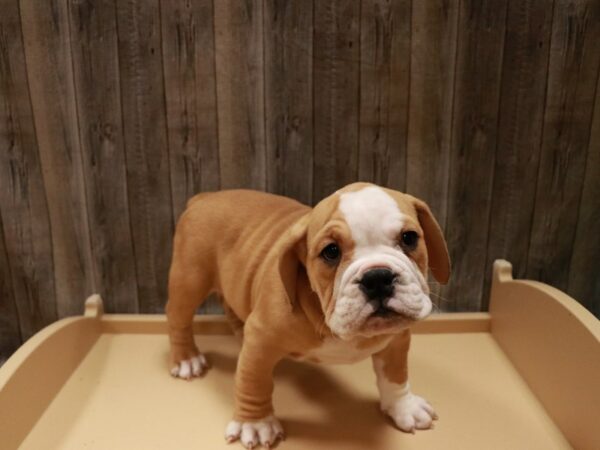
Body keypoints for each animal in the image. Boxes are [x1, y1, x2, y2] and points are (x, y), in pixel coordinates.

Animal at [166, 181, 448, 448]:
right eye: (331, 252)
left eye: (409, 238)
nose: (377, 277)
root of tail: (205, 197)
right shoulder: (261, 339)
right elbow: (254, 382)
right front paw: (255, 424)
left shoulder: (396, 340)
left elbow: (396, 375)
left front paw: (404, 407)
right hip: (190, 279)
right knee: (178, 318)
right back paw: (187, 359)